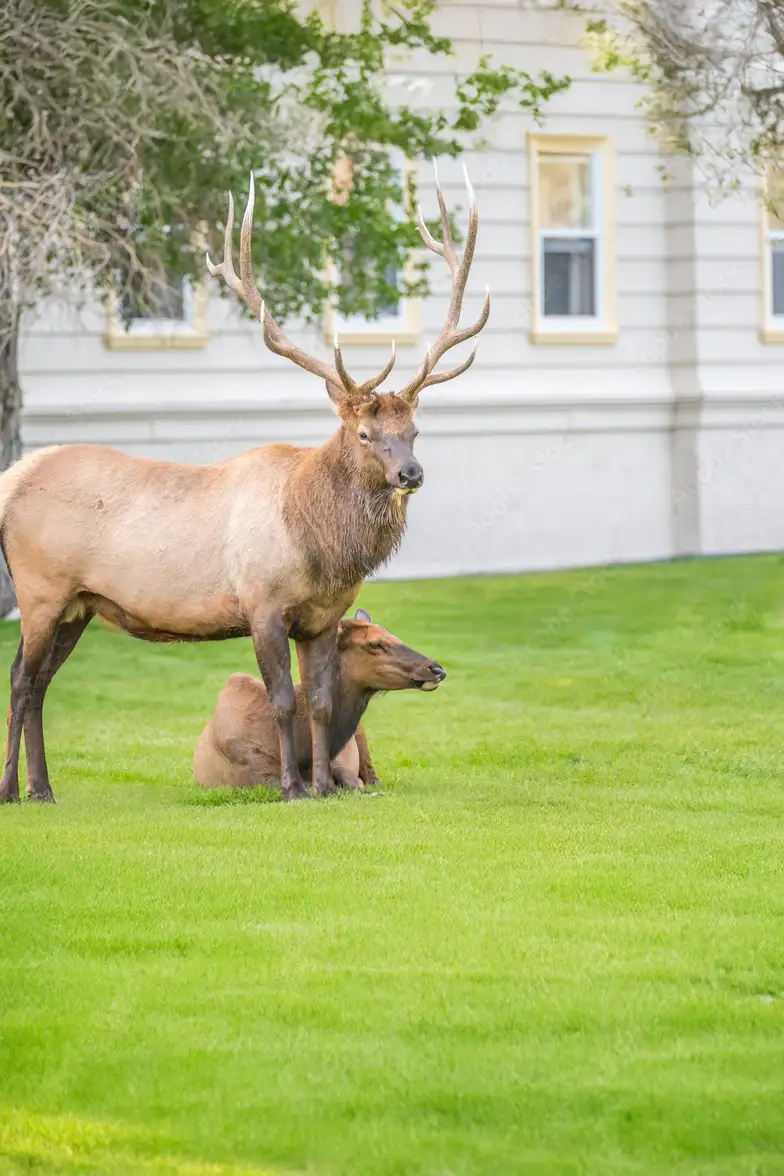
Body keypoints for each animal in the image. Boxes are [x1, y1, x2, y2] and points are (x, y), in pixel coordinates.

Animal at [193, 608, 445, 792]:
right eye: (374, 644)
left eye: (394, 636)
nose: (437, 669)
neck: (302, 752)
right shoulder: (255, 775)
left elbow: (352, 783)